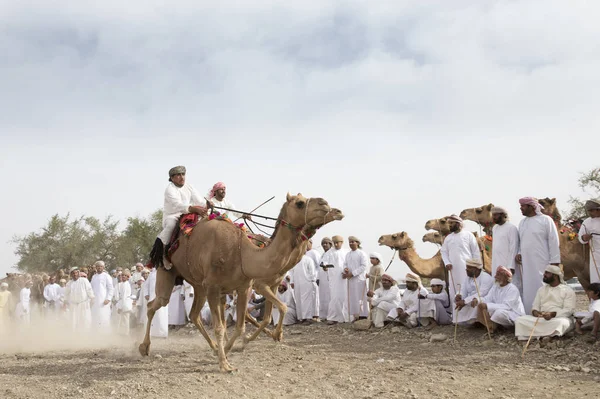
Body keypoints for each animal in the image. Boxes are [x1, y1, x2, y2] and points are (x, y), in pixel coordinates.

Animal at [137, 194, 342, 372]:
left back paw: (214, 347)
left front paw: (237, 347)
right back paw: (144, 347)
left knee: (194, 315)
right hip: (169, 272)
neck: (243, 253)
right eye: (300, 203)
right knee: (155, 304)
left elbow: (247, 321)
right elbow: (221, 326)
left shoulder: (246, 286)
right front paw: (225, 363)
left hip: (199, 285)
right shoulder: (224, 286)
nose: (333, 208)